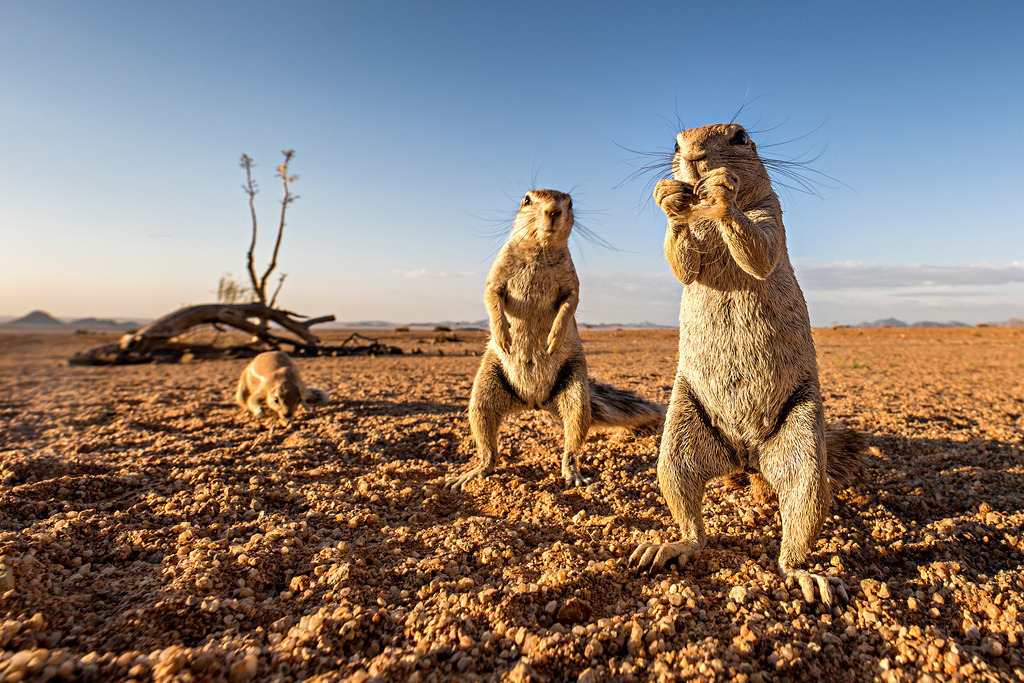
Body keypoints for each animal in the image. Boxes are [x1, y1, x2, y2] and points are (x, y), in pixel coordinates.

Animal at [447, 189, 665, 490]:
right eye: (527, 200)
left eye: (570, 202)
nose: (553, 211)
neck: (540, 251)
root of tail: (533, 402)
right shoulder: (497, 274)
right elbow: (491, 296)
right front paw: (503, 335)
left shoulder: (571, 283)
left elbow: (569, 305)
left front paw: (554, 338)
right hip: (483, 393)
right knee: (488, 449)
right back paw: (473, 472)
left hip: (576, 393)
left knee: (572, 444)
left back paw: (573, 474)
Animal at [630, 124, 865, 608]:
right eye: (674, 143)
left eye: (739, 136)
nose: (693, 156)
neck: (708, 221)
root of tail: (746, 455)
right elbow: (684, 264)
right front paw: (670, 198)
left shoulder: (771, 214)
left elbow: (760, 251)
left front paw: (722, 190)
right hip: (676, 445)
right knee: (695, 529)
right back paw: (667, 546)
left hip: (805, 454)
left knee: (795, 531)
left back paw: (807, 577)